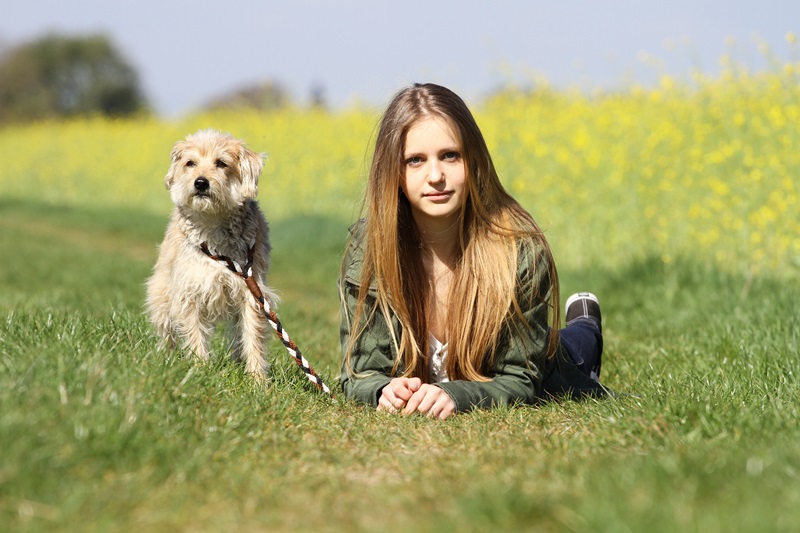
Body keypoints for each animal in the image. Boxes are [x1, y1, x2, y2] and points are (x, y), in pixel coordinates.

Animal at [145, 128, 276, 378]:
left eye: (221, 163)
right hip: (161, 292)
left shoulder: (252, 291)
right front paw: (199, 369)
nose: (201, 182)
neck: (213, 224)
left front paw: (257, 379)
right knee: (166, 328)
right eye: (190, 163)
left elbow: (252, 335)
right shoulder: (189, 289)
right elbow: (195, 332)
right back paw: (166, 356)